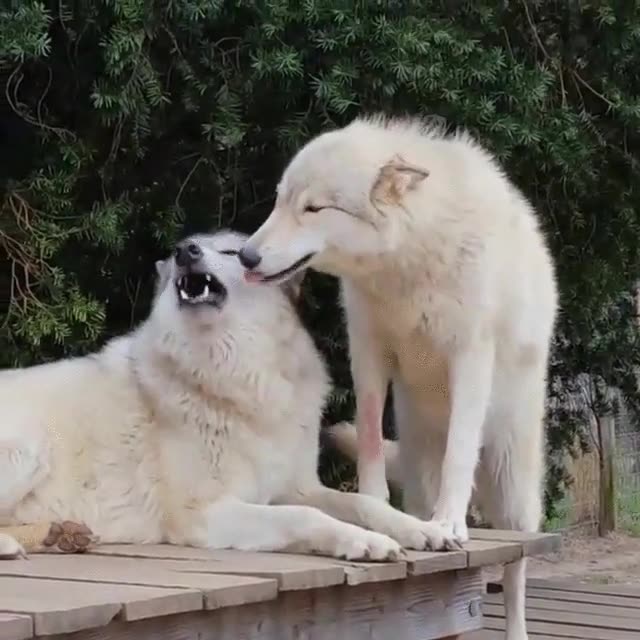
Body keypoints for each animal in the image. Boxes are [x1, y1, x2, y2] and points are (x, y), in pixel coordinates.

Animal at [0, 229, 455, 561]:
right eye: (183, 253)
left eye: (233, 252)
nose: (184, 251)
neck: (235, 377)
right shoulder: (207, 512)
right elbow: (305, 517)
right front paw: (366, 542)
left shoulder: (297, 487)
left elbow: (365, 504)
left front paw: (421, 529)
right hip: (29, 450)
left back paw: (60, 536)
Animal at [238, 115, 559, 640]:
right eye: (280, 201)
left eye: (313, 208)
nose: (245, 256)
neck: (409, 260)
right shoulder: (368, 354)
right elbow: (369, 439)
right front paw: (380, 509)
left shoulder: (470, 357)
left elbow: (459, 455)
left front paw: (451, 524)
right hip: (419, 467)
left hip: (515, 495)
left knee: (516, 573)